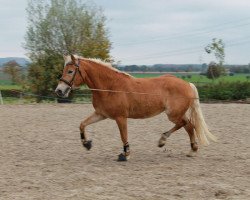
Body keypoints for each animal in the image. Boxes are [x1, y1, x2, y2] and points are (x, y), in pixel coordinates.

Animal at [55, 54, 216, 161]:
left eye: (70, 71)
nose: (59, 91)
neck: (110, 87)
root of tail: (187, 84)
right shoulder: (101, 114)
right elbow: (82, 124)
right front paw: (87, 144)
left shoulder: (120, 117)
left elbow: (123, 135)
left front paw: (125, 154)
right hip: (176, 114)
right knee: (188, 126)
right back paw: (191, 150)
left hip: (173, 114)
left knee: (187, 124)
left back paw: (164, 141)